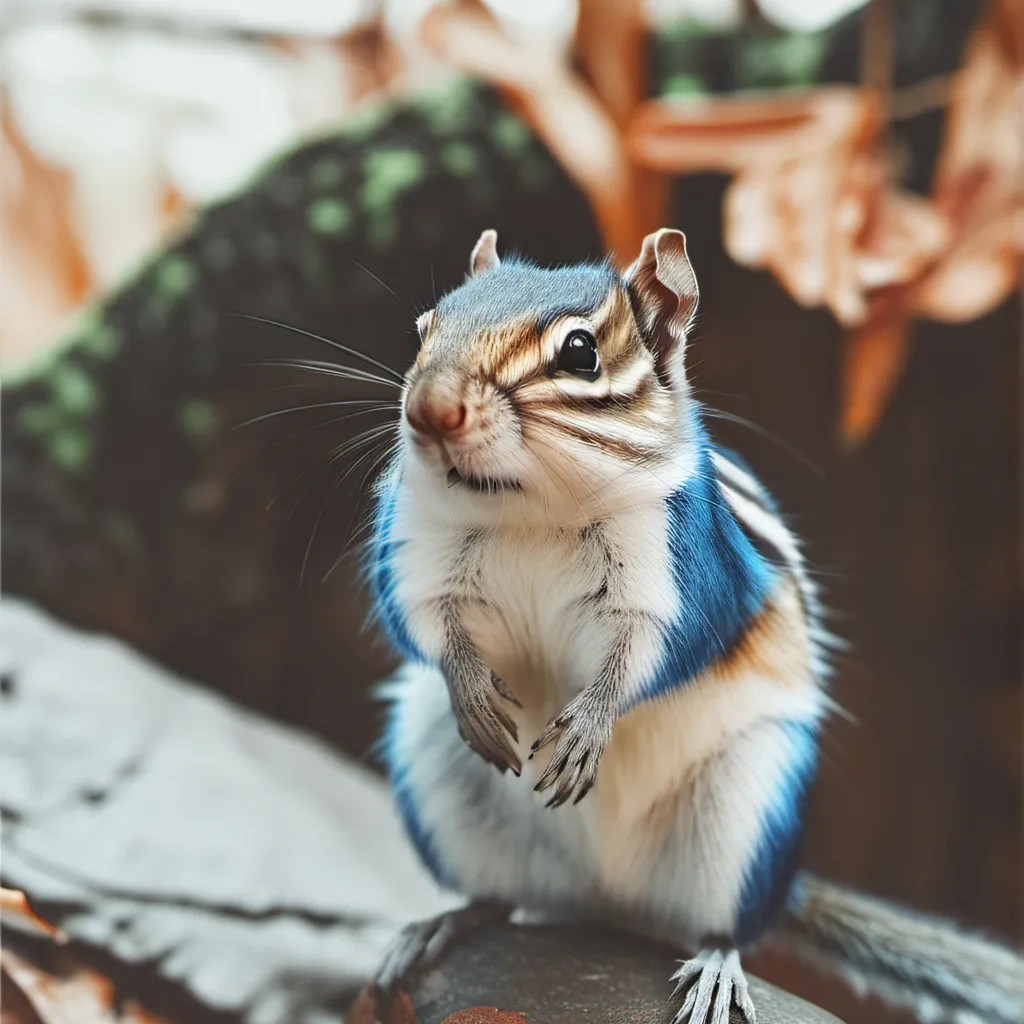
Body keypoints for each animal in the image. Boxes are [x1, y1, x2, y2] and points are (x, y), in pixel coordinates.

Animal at [366, 228, 1023, 1024]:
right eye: (424, 329)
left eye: (581, 352)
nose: (430, 410)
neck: (529, 508)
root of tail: (607, 901)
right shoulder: (417, 553)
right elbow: (421, 623)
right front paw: (471, 689)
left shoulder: (681, 569)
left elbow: (650, 650)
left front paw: (591, 723)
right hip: (435, 767)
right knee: (499, 898)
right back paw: (440, 926)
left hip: (747, 804)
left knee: (724, 922)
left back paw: (715, 965)